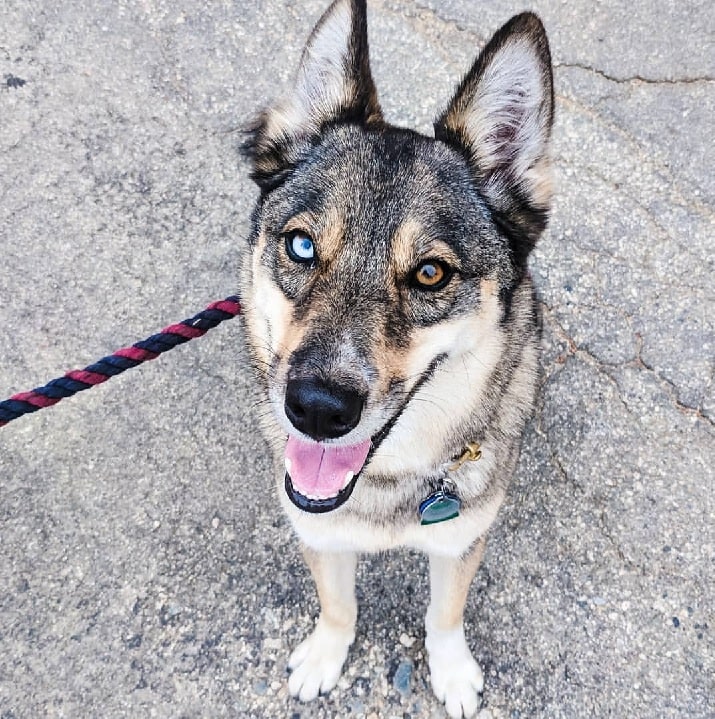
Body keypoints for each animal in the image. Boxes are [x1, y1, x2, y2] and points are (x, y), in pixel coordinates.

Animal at [241, 2, 552, 716]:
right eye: (301, 245)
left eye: (431, 274)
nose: (316, 410)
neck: (385, 481)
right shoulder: (319, 533)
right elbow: (338, 604)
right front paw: (325, 656)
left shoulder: (462, 539)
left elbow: (444, 614)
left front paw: (453, 673)